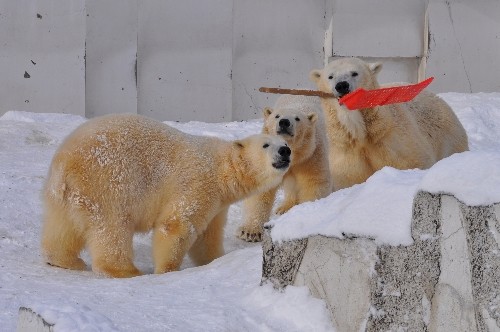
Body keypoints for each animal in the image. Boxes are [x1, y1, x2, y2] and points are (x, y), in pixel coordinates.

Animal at [43, 114, 292, 278]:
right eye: (266, 144)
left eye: (284, 143)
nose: (285, 151)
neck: (221, 167)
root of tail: (64, 162)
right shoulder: (198, 181)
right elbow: (177, 224)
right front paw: (168, 270)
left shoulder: (218, 202)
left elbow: (207, 235)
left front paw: (213, 260)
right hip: (108, 183)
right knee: (112, 227)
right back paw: (125, 270)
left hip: (66, 195)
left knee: (62, 226)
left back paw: (64, 260)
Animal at [237, 94, 332, 243]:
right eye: (277, 116)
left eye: (297, 118)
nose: (284, 122)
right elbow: (261, 189)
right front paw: (249, 232)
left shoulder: (310, 155)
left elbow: (314, 183)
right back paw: (284, 207)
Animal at [308, 58, 468, 191]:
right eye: (330, 76)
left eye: (354, 73)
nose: (342, 86)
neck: (362, 133)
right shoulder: (346, 153)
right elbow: (349, 179)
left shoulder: (392, 141)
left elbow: (413, 162)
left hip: (449, 137)